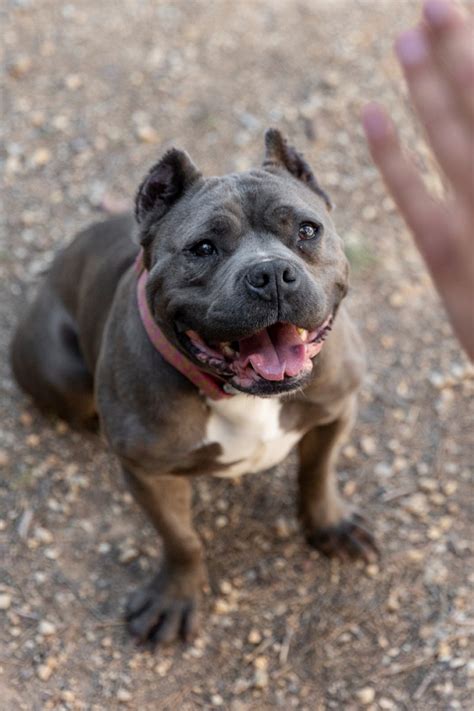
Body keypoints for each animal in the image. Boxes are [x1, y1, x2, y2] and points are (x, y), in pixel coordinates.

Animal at [10, 128, 378, 644]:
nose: (271, 273)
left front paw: (331, 525)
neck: (239, 394)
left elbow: (317, 474)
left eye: (307, 231)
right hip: (61, 375)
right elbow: (181, 539)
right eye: (203, 248)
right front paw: (174, 597)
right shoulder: (150, 473)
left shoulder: (336, 410)